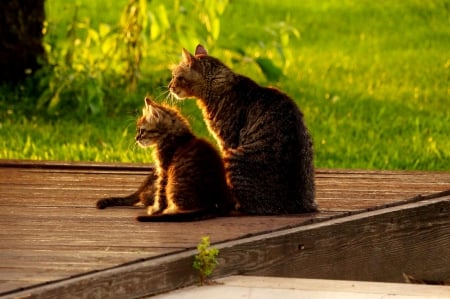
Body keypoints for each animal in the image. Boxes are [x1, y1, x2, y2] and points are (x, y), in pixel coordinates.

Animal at [96, 97, 234, 221]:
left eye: (142, 130)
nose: (136, 138)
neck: (176, 136)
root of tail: (213, 203)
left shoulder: (164, 170)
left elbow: (160, 193)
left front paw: (156, 209)